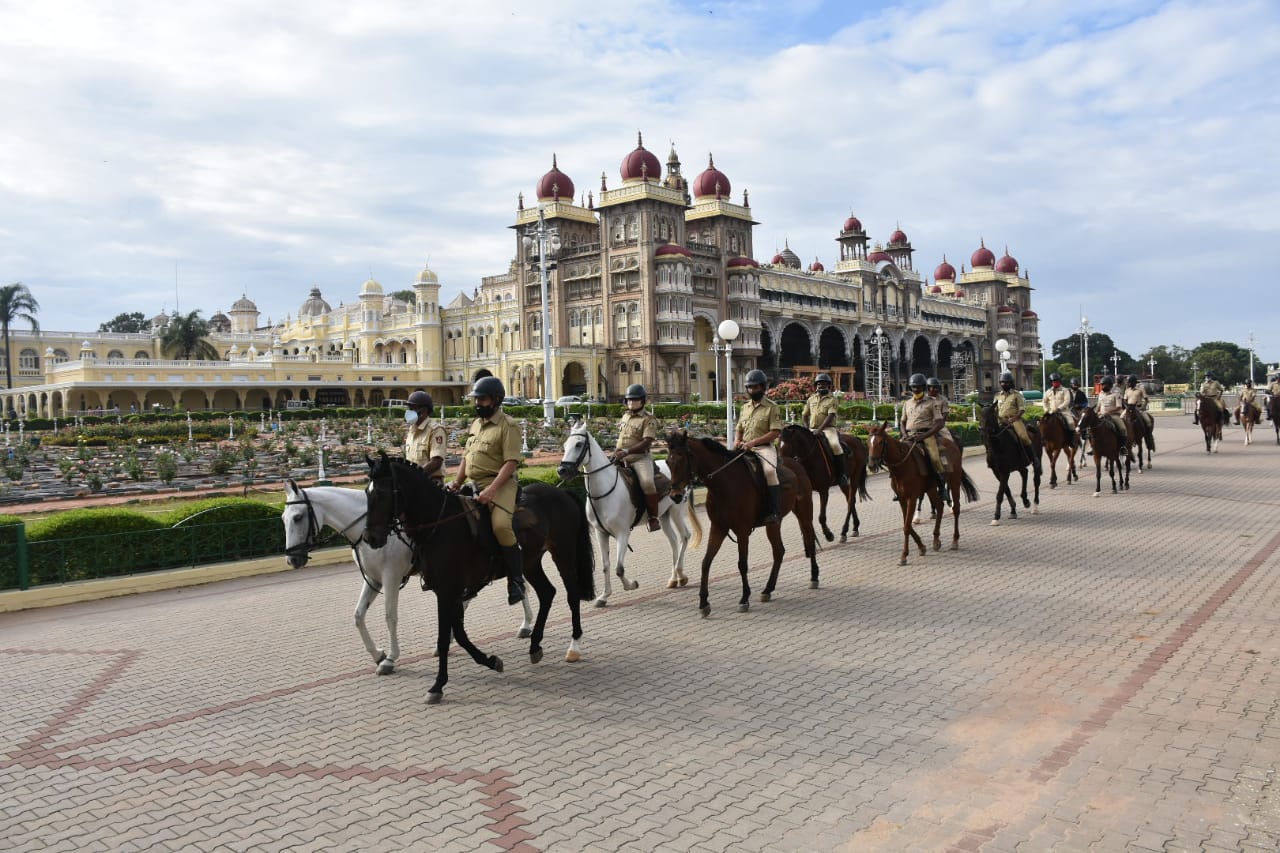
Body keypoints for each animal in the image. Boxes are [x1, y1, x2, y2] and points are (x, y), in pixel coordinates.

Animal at [284, 479, 535, 671]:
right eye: (283, 519)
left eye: (297, 517)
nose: (292, 559)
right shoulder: (373, 579)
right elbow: (358, 615)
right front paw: (377, 654)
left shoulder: (391, 577)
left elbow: (390, 616)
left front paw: (390, 658)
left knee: (519, 584)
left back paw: (526, 623)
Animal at [360, 455, 593, 701]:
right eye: (367, 492)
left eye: (382, 494)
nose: (370, 537)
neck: (441, 524)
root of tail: (560, 492)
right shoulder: (448, 591)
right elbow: (460, 635)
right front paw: (490, 661)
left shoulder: (447, 591)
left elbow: (445, 638)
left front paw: (437, 685)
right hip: (531, 562)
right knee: (547, 593)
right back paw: (535, 646)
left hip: (563, 554)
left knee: (572, 595)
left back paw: (574, 645)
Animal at [558, 417, 706, 604]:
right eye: (565, 445)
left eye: (578, 444)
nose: (562, 470)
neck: (604, 491)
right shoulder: (600, 533)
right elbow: (606, 566)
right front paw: (604, 596)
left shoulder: (623, 533)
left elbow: (619, 568)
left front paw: (631, 585)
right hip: (663, 516)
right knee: (673, 541)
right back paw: (674, 578)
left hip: (676, 512)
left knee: (684, 536)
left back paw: (681, 575)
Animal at [660, 427, 819, 614]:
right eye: (668, 462)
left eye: (683, 459)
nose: (675, 496)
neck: (724, 484)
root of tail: (795, 465)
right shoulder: (718, 528)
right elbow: (706, 562)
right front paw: (704, 602)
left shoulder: (742, 531)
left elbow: (742, 564)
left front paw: (744, 599)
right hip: (773, 523)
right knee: (779, 551)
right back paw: (768, 589)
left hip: (804, 512)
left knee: (809, 540)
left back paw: (814, 577)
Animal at [860, 420, 977, 563]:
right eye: (867, 442)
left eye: (881, 442)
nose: (871, 465)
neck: (902, 467)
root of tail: (953, 444)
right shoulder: (902, 498)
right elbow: (907, 524)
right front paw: (921, 547)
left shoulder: (912, 497)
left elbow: (906, 526)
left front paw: (904, 555)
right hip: (931, 488)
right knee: (940, 505)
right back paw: (936, 539)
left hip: (954, 482)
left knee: (956, 509)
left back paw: (955, 540)